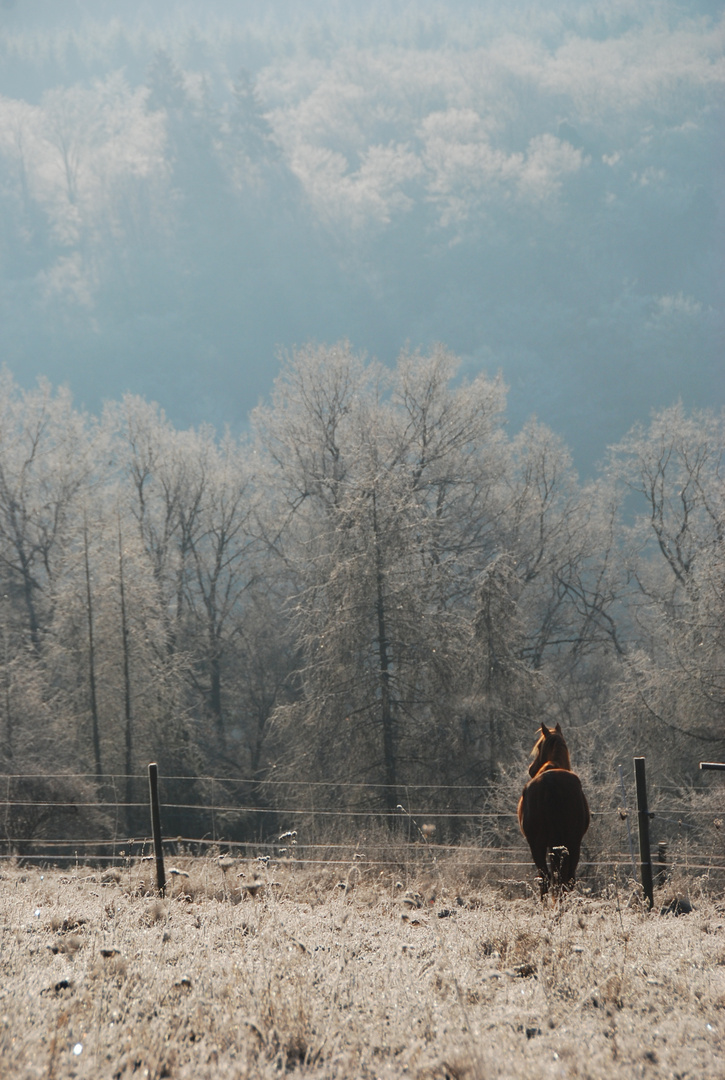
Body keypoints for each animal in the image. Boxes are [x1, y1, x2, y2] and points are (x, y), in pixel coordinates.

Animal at [516, 725, 587, 894]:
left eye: (539, 747)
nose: (531, 769)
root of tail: (551, 784)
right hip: (571, 842)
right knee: (566, 878)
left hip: (538, 844)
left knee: (546, 879)